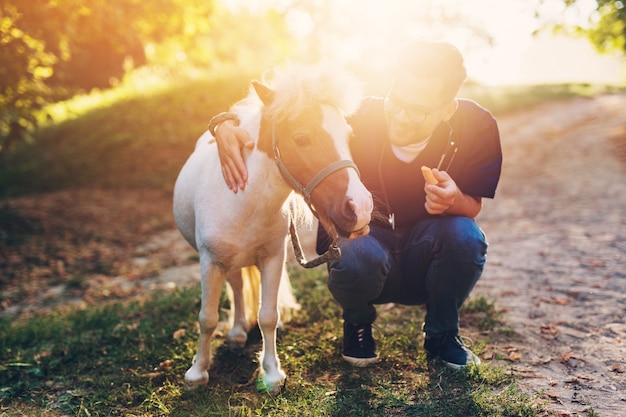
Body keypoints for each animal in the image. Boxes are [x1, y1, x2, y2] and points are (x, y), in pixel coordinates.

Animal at [173, 63, 370, 392]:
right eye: (302, 138)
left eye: (349, 135)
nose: (361, 209)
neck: (242, 198)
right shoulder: (209, 261)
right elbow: (207, 318)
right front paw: (197, 372)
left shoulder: (272, 259)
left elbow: (268, 315)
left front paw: (271, 374)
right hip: (224, 262)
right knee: (236, 287)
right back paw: (237, 332)